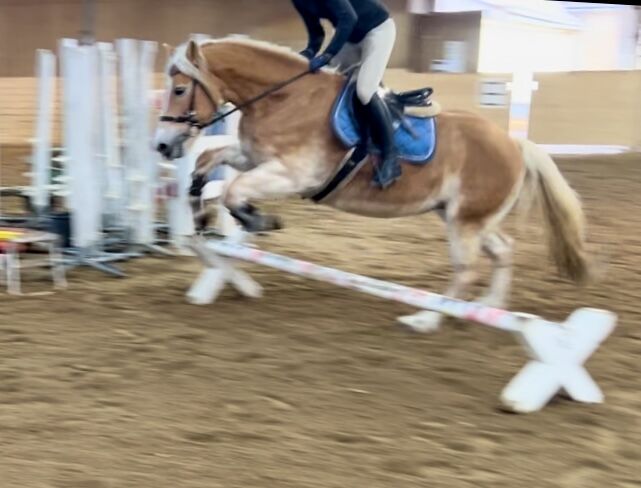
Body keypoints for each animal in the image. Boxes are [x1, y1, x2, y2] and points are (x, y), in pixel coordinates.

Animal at [154, 36, 592, 330]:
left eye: (179, 89)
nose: (162, 145)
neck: (284, 99)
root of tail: (515, 144)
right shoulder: (253, 158)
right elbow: (208, 164)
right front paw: (200, 215)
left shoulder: (294, 174)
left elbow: (234, 191)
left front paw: (259, 221)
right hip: (465, 217)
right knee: (503, 249)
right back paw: (487, 308)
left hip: (465, 221)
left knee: (467, 268)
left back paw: (427, 319)